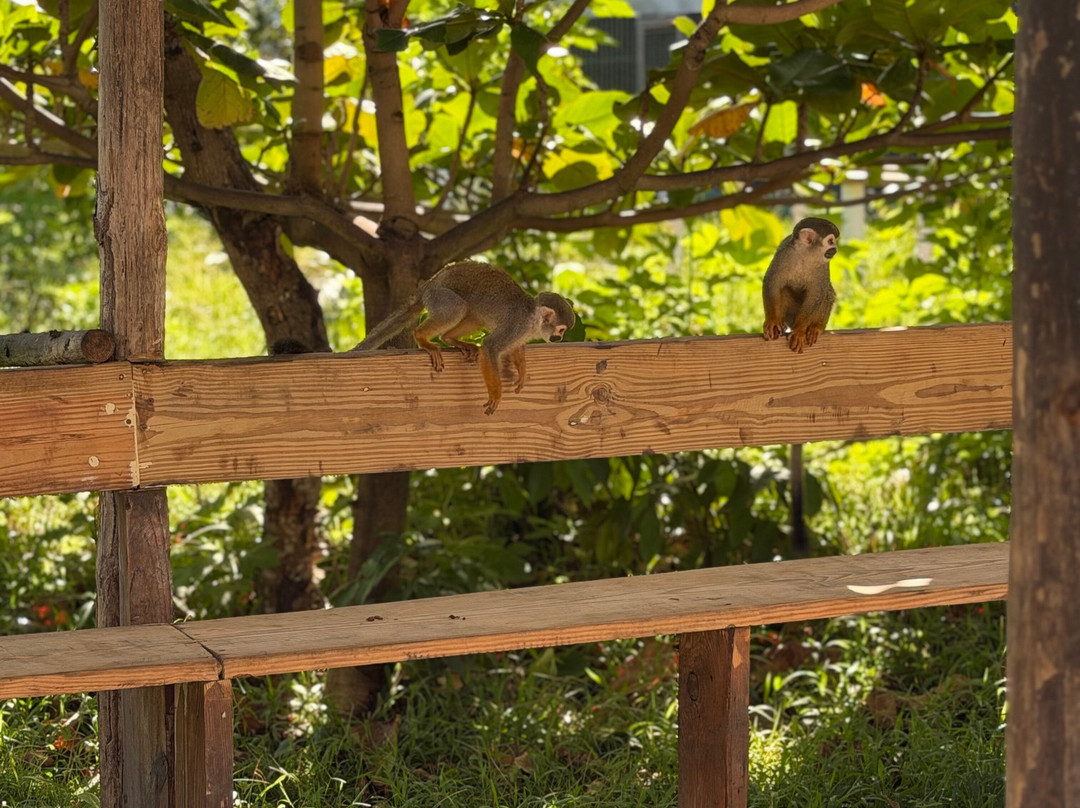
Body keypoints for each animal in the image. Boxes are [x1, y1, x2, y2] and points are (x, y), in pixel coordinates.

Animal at [351, 260, 576, 415]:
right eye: (561, 330)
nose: (559, 339)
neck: (531, 320)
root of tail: (427, 286)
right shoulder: (516, 325)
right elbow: (490, 347)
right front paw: (496, 394)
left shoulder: (522, 333)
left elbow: (514, 348)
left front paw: (521, 371)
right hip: (439, 296)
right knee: (457, 307)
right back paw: (422, 338)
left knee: (472, 315)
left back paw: (450, 339)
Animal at [762, 217, 840, 354]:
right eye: (831, 241)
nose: (835, 249)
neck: (805, 256)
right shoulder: (784, 255)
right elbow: (772, 281)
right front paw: (772, 320)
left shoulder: (823, 266)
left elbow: (817, 293)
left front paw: (799, 330)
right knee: (784, 289)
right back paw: (781, 323)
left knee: (827, 293)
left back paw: (817, 326)